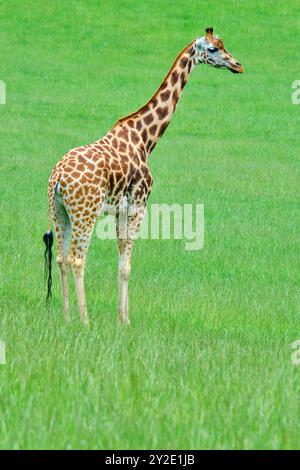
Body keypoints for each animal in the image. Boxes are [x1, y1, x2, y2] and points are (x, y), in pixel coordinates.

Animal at [42, 27, 244, 324]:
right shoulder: (138, 204)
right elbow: (127, 265)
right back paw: (85, 320)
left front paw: (120, 318)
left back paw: (67, 317)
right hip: (85, 212)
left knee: (60, 257)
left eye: (223, 44)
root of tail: (57, 179)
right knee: (77, 259)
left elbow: (120, 264)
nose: (237, 65)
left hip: (58, 211)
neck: (145, 139)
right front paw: (125, 321)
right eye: (214, 49)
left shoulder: (120, 209)